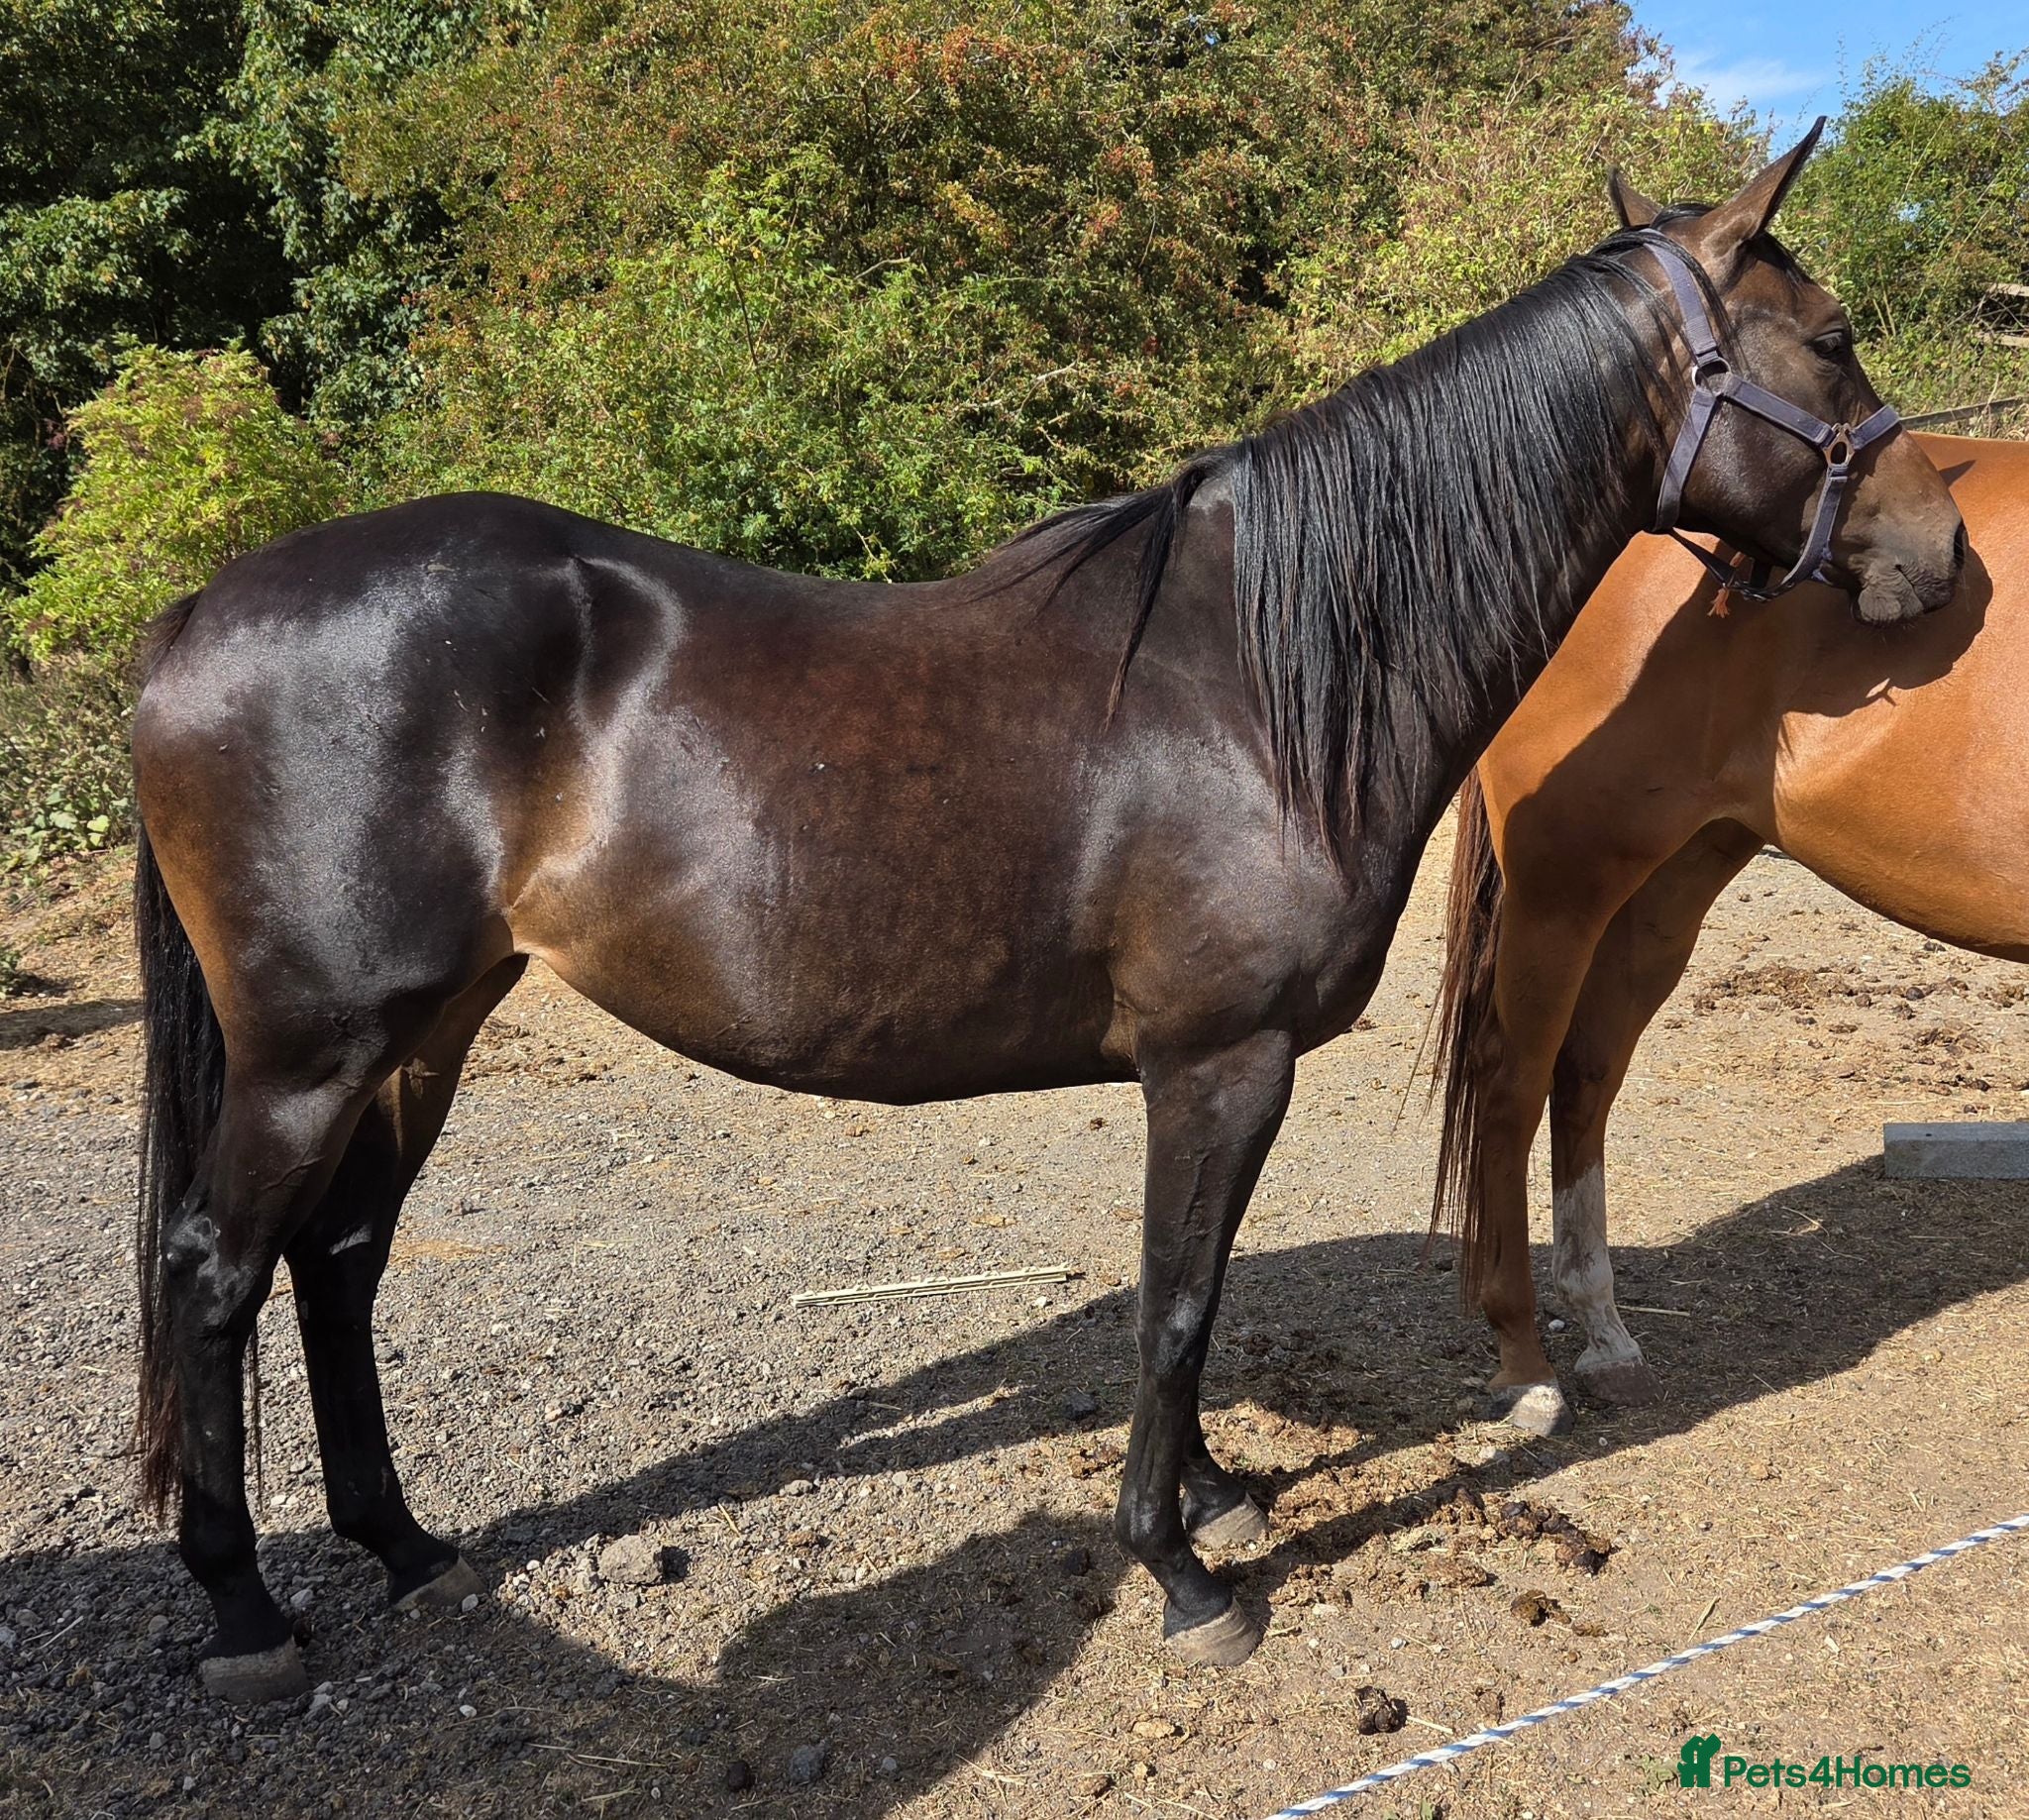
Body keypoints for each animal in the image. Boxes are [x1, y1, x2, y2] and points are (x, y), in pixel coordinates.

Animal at [1430, 430, 2020, 1435]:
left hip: (1674, 876)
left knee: (1584, 1074)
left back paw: (1607, 1336)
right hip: (1562, 888)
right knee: (1511, 1084)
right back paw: (1525, 1363)